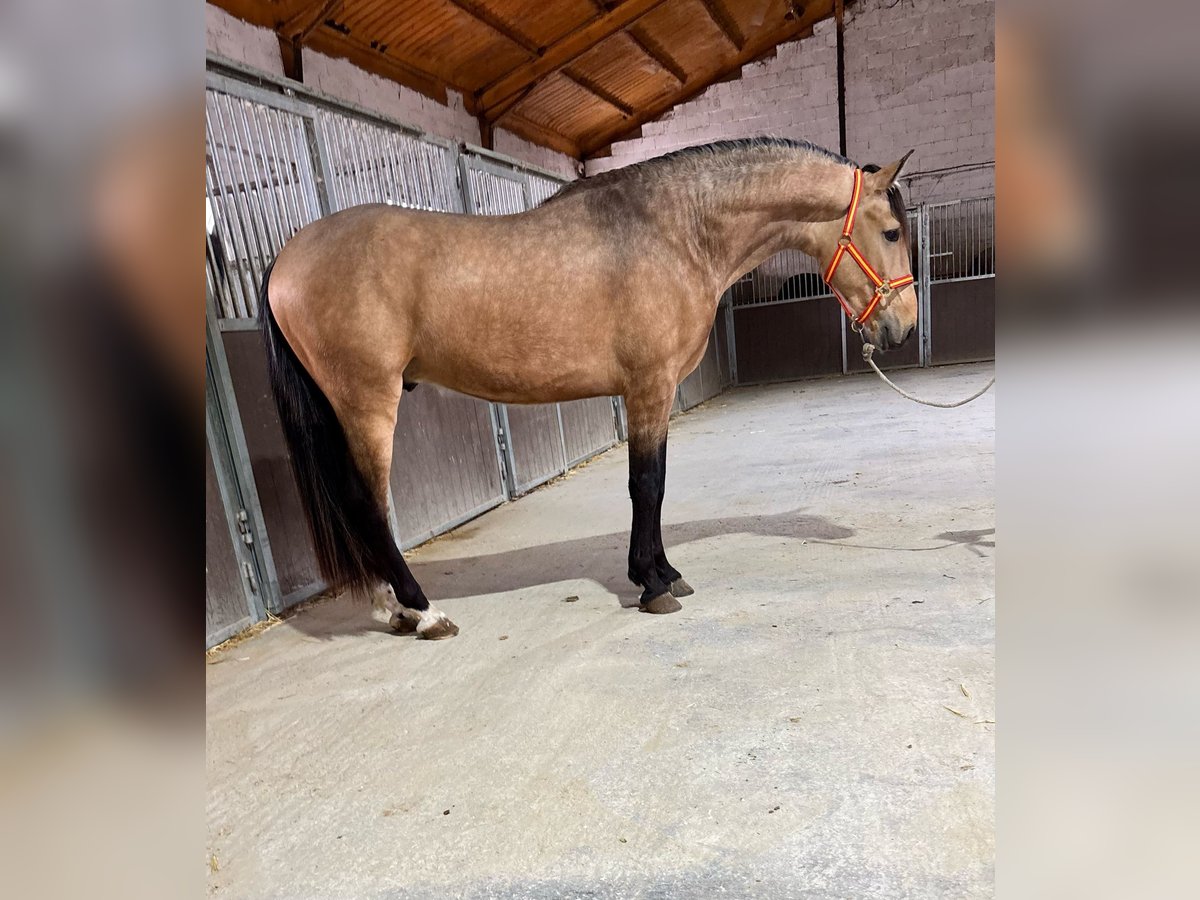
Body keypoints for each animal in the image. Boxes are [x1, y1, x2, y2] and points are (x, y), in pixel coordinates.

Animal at [262, 135, 916, 643]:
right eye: (890, 232)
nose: (904, 327)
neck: (675, 231)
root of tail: (287, 256)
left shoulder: (655, 393)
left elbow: (654, 484)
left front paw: (665, 572)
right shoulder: (648, 386)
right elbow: (646, 485)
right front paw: (652, 584)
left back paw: (390, 607)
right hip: (368, 403)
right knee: (365, 504)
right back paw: (423, 612)